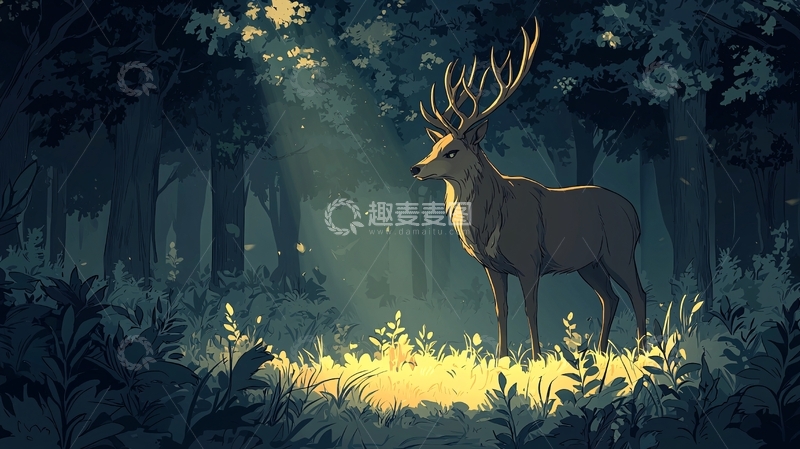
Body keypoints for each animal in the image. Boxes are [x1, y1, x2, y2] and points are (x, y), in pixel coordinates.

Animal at [410, 19, 647, 360]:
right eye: (434, 146)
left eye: (452, 152)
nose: (416, 168)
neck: (490, 222)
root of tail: (634, 213)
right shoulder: (493, 266)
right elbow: (501, 310)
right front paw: (501, 358)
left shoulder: (530, 259)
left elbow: (530, 310)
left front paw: (535, 358)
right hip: (590, 263)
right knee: (610, 297)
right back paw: (601, 353)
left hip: (620, 251)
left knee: (638, 294)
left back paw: (644, 352)